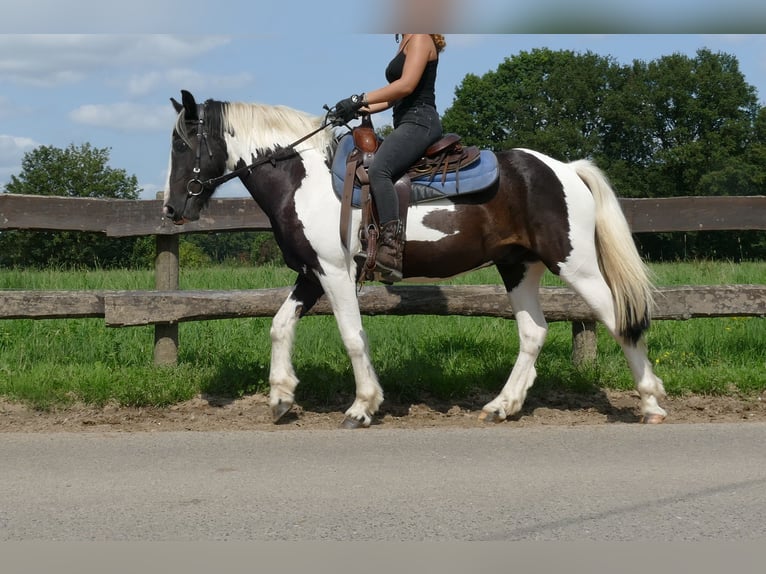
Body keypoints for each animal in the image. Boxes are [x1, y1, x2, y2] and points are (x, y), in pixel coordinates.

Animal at [165, 90, 668, 430]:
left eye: (181, 145)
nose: (172, 210)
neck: (301, 179)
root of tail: (565, 170)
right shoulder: (311, 273)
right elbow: (279, 326)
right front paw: (281, 397)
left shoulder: (335, 272)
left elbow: (352, 337)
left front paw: (361, 407)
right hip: (518, 267)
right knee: (534, 332)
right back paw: (502, 406)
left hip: (575, 264)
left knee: (620, 319)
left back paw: (651, 403)